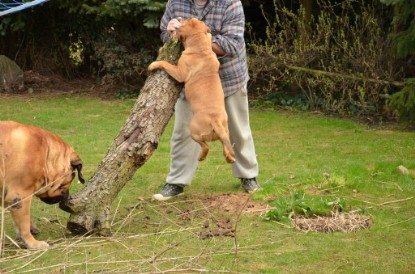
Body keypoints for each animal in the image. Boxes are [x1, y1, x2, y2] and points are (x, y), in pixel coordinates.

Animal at [0, 121, 84, 249]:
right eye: (65, 185)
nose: (67, 196)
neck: (47, 152)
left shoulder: (7, 196)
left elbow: (17, 220)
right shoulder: (21, 194)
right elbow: (24, 223)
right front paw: (32, 243)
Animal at [150, 18, 236, 164]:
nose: (180, 18)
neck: (200, 47)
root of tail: (215, 121)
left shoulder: (179, 73)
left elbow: (165, 64)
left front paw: (153, 65)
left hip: (194, 131)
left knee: (205, 146)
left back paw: (201, 157)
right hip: (225, 131)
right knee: (226, 147)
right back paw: (229, 158)